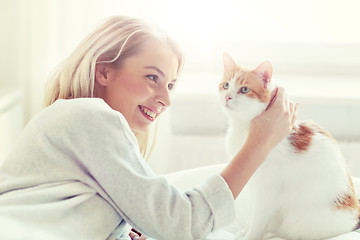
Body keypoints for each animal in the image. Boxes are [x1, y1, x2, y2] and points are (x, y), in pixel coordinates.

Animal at [218, 53, 360, 240]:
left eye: (244, 89)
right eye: (226, 85)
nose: (227, 97)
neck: (244, 128)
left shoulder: (267, 189)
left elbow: (258, 218)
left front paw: (250, 235)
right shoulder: (253, 184)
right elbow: (252, 214)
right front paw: (245, 230)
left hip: (300, 221)